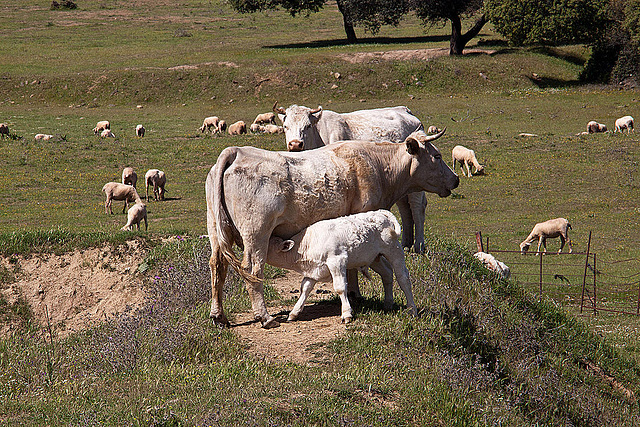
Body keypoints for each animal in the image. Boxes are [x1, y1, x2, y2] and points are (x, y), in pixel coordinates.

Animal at [266, 210, 420, 324]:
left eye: (267, 246)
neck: (307, 244)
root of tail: (381, 213)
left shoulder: (337, 261)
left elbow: (340, 287)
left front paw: (346, 313)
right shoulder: (314, 271)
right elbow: (305, 288)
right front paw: (294, 312)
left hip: (394, 250)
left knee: (403, 277)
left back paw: (412, 309)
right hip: (374, 258)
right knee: (387, 274)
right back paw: (388, 303)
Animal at [274, 103, 430, 254]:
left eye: (307, 126)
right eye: (285, 126)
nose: (295, 144)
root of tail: (405, 110)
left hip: (416, 183)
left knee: (417, 208)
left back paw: (419, 246)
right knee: (405, 209)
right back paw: (406, 245)